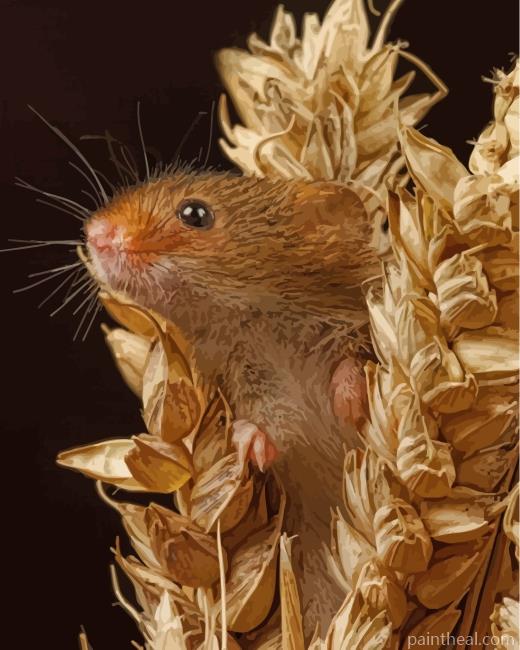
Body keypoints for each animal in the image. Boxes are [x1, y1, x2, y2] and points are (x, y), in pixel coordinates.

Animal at [85, 167, 382, 636]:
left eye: (195, 213)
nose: (93, 232)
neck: (260, 323)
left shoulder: (356, 324)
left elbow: (356, 361)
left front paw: (350, 400)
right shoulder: (252, 384)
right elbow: (265, 426)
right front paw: (244, 447)